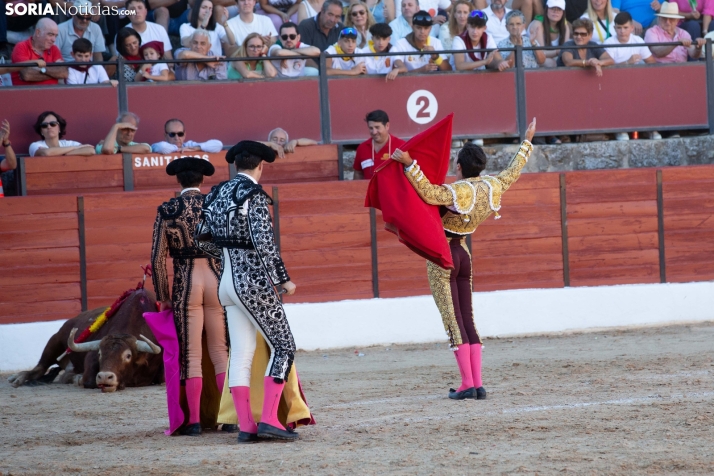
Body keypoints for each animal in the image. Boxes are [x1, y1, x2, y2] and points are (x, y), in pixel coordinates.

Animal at [8, 288, 164, 392]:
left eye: (128, 356)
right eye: (100, 353)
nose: (105, 376)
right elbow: (88, 380)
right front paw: (79, 379)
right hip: (55, 340)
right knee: (40, 367)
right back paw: (17, 378)